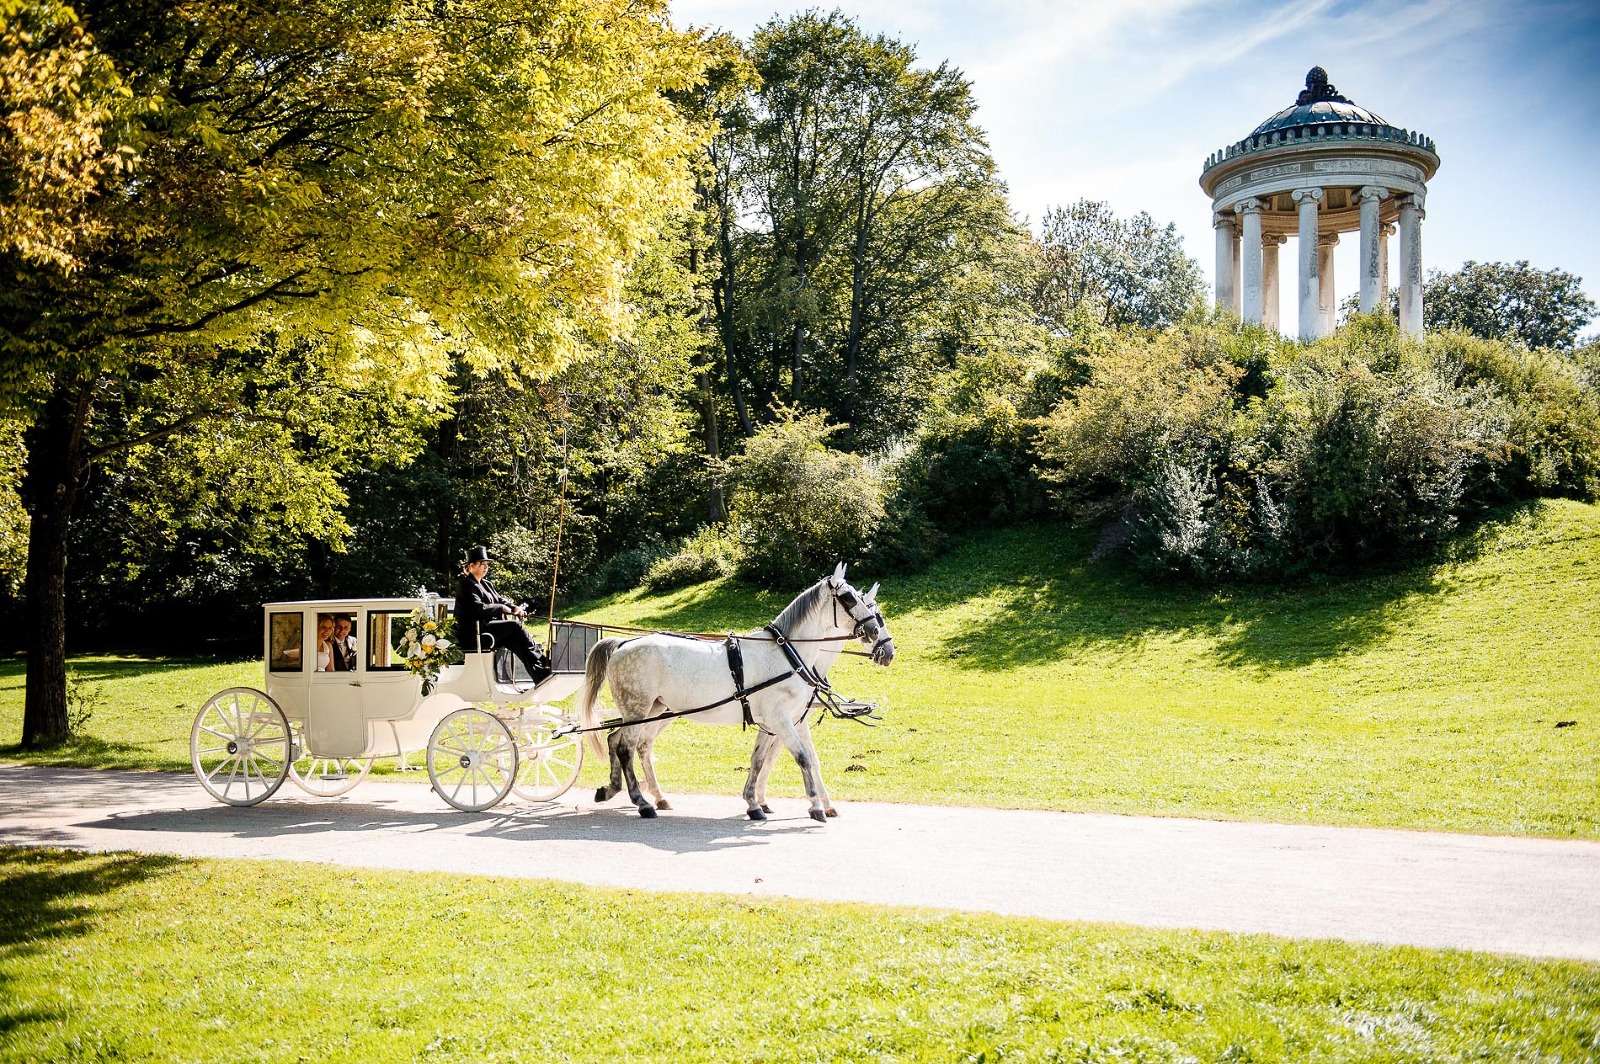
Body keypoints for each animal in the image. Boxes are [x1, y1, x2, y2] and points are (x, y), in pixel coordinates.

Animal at [579, 563, 902, 819]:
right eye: (849, 598)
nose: (881, 642)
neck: (789, 654)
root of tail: (623, 644)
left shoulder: (780, 721)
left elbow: (762, 760)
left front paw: (755, 803)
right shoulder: (781, 720)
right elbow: (802, 757)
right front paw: (815, 807)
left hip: (653, 709)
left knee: (620, 740)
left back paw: (620, 790)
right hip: (639, 708)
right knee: (626, 747)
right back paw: (642, 801)